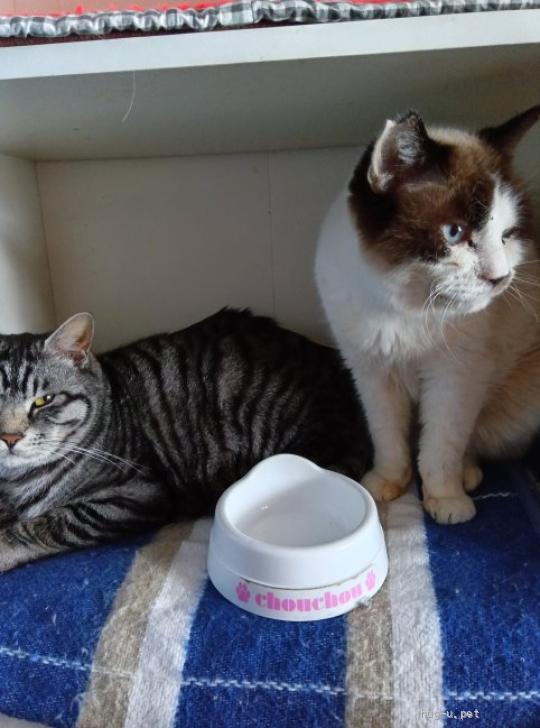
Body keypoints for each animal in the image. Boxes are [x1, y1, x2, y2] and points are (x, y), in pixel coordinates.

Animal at [315, 106, 540, 525]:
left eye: (506, 236)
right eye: (454, 233)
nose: (500, 279)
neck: (408, 308)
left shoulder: (455, 376)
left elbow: (441, 446)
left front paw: (446, 500)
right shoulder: (372, 371)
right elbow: (387, 437)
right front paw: (387, 483)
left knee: (470, 440)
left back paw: (466, 476)